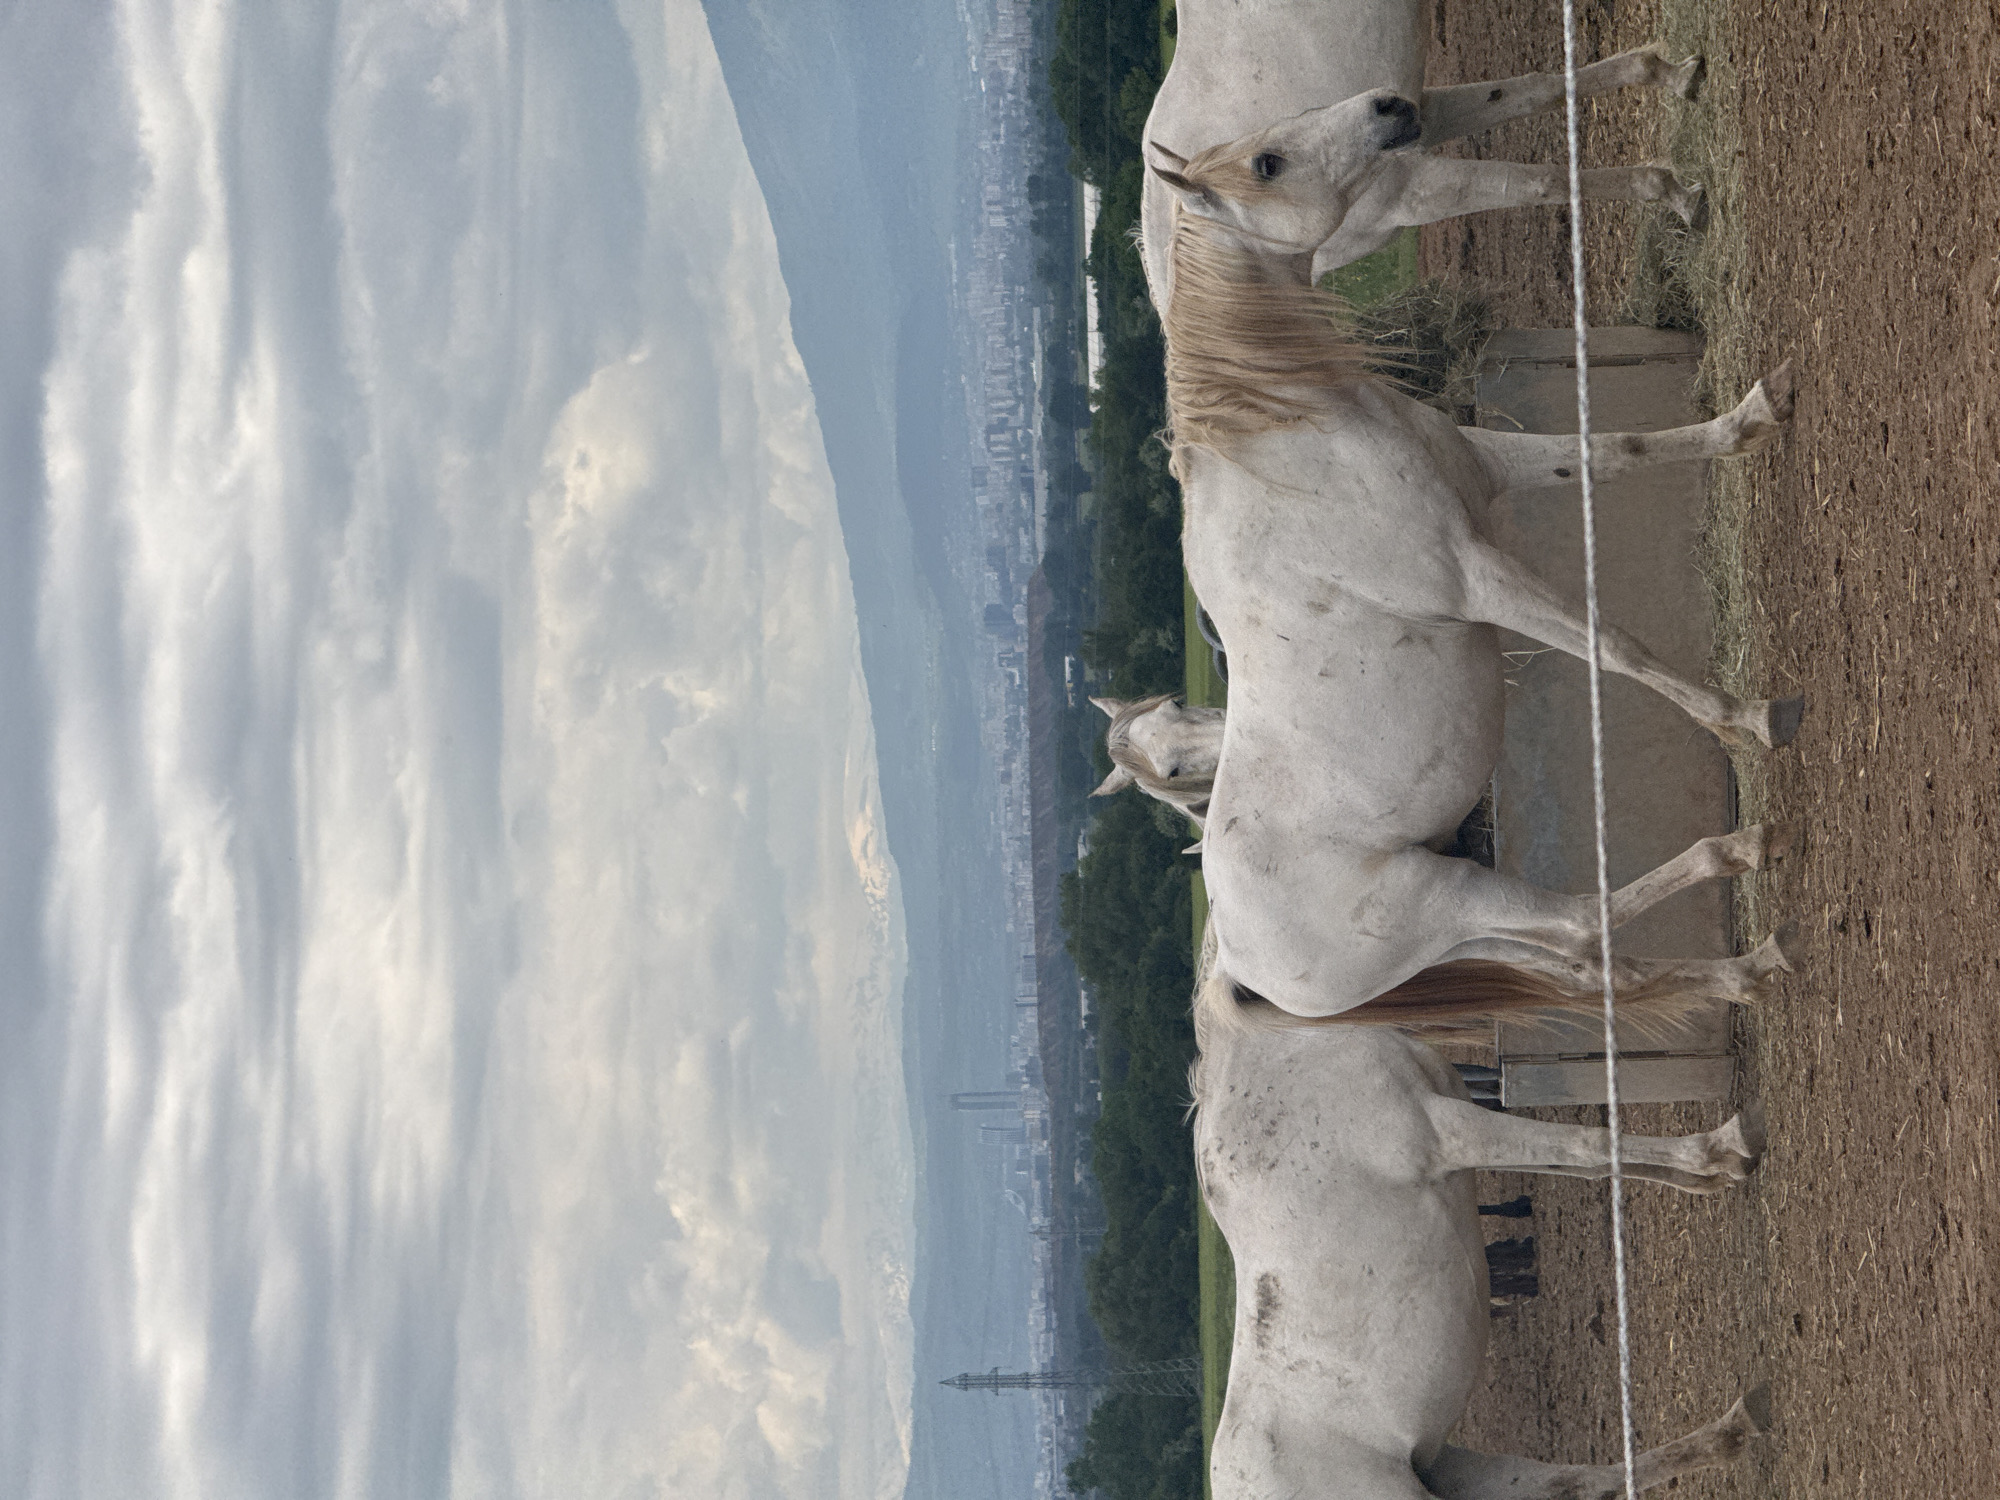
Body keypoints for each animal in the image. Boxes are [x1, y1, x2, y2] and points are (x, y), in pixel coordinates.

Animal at [1141, 3, 1706, 305]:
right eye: (1267, 164)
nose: (1386, 104)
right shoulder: (1419, 156)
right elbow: (1540, 114)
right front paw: (1671, 81)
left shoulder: (1411, 176)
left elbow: (1540, 153)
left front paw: (1679, 193)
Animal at [1151, 94, 1804, 1027]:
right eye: (1268, 163)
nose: (1391, 107)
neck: (1290, 444)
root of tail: (1241, 965)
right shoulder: (1475, 578)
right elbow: (1614, 646)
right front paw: (1748, 718)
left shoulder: (1492, 470)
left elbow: (1615, 450)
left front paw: (1755, 413)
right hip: (1445, 900)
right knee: (1580, 922)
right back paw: (1745, 849)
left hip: (1459, 938)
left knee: (1584, 962)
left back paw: (1751, 968)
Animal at [1191, 927, 1774, 1500]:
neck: (1285, 1053)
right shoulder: (1448, 1131)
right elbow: (1586, 1145)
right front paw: (1722, 1149)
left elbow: (1585, 1161)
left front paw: (1706, 1175)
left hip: (1461, 1471)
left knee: (1572, 1483)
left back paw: (1736, 1428)